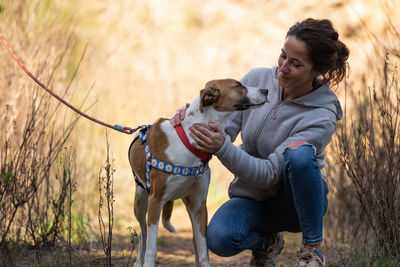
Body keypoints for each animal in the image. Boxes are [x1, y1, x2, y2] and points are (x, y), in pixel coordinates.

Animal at [129, 79, 268, 267]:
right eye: (238, 85)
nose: (266, 90)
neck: (187, 140)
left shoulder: (199, 204)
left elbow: (203, 250)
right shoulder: (155, 201)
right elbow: (151, 248)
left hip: (188, 205)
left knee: (194, 240)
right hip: (141, 203)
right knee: (143, 234)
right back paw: (138, 261)